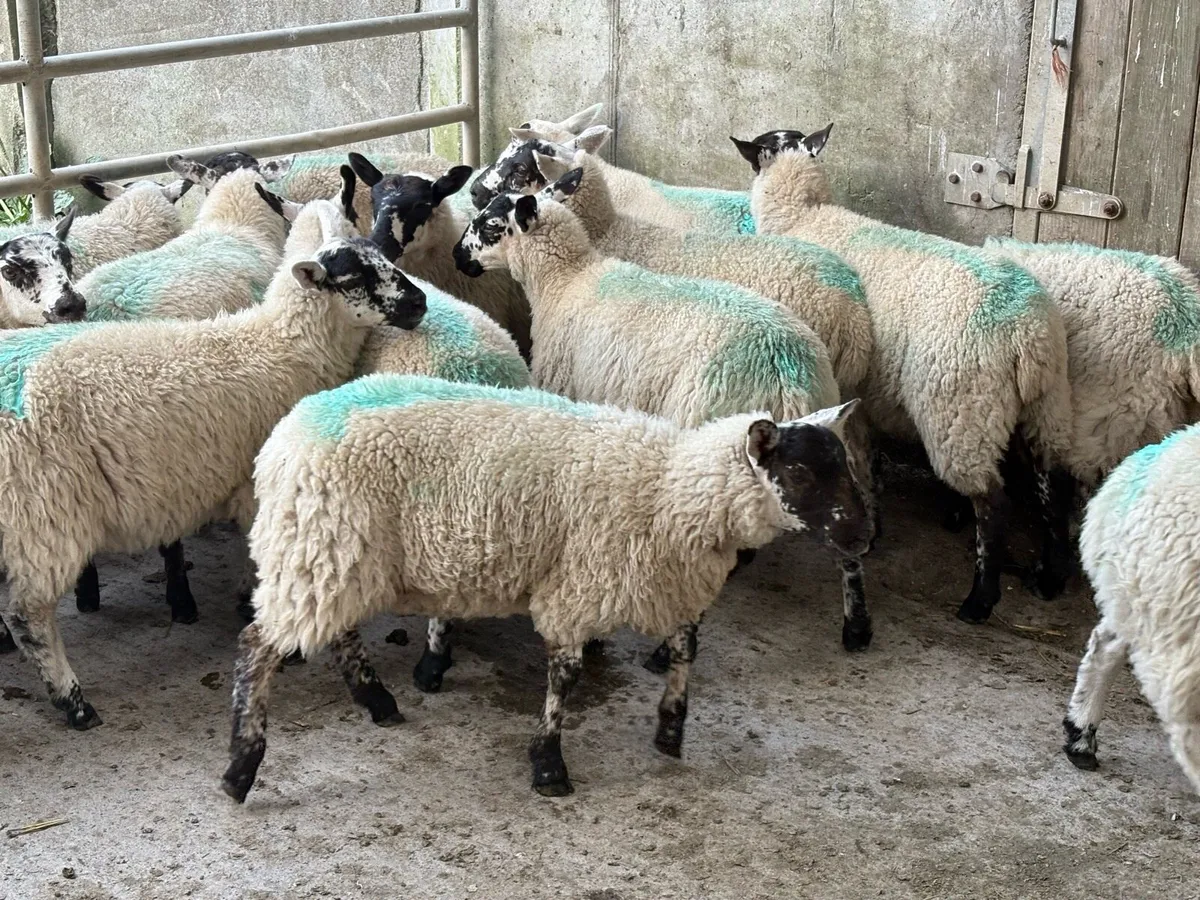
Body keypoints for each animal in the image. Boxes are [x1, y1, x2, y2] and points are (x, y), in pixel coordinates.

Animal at [0, 194, 427, 729]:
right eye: (353, 277)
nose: (420, 303)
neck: (281, 347)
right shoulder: (262, 489)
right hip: (42, 516)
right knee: (27, 615)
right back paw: (74, 703)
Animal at [221, 374, 868, 802]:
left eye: (845, 465)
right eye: (800, 471)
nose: (864, 536)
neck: (668, 490)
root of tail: (283, 441)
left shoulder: (673, 584)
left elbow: (687, 651)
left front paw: (670, 730)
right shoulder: (579, 587)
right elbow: (566, 678)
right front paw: (549, 766)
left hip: (336, 558)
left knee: (336, 631)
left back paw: (376, 699)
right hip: (322, 547)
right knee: (258, 650)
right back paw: (240, 768)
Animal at [450, 180, 884, 664]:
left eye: (491, 223)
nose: (457, 256)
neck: (566, 281)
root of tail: (785, 377)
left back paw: (666, 651)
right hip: (825, 436)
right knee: (845, 529)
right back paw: (857, 626)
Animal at [729, 124, 1073, 624]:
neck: (803, 215)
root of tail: (1029, 332)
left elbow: (858, 458)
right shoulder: (861, 391)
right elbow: (865, 457)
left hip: (959, 403)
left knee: (994, 502)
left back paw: (979, 600)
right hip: (1044, 402)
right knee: (1055, 481)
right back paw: (1049, 578)